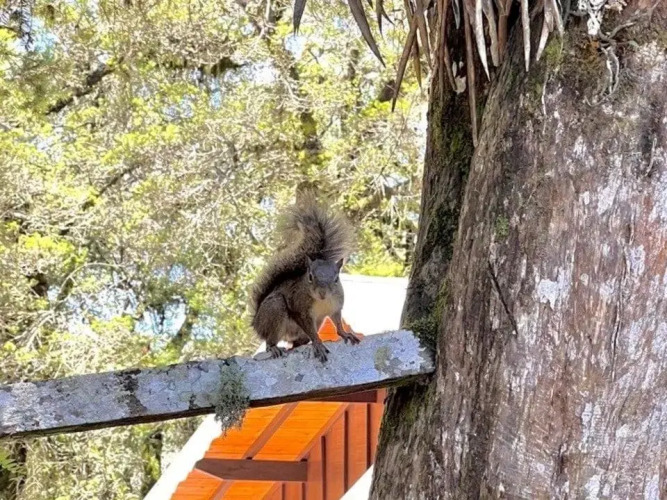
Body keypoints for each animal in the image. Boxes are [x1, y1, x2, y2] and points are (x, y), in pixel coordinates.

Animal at [250, 193, 359, 362]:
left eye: (336, 279)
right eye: (310, 277)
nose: (322, 293)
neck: (323, 302)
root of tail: (255, 321)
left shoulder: (336, 307)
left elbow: (338, 323)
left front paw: (345, 334)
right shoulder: (301, 310)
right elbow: (311, 330)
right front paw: (318, 343)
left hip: (313, 325)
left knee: (297, 342)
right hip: (275, 310)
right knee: (270, 339)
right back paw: (274, 347)